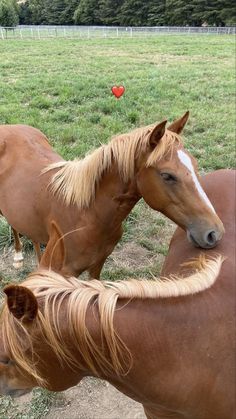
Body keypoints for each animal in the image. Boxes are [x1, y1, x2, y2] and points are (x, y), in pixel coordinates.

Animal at [0, 111, 224, 278]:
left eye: (194, 165)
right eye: (167, 175)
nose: (214, 233)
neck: (86, 214)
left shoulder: (98, 264)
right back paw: (18, 256)